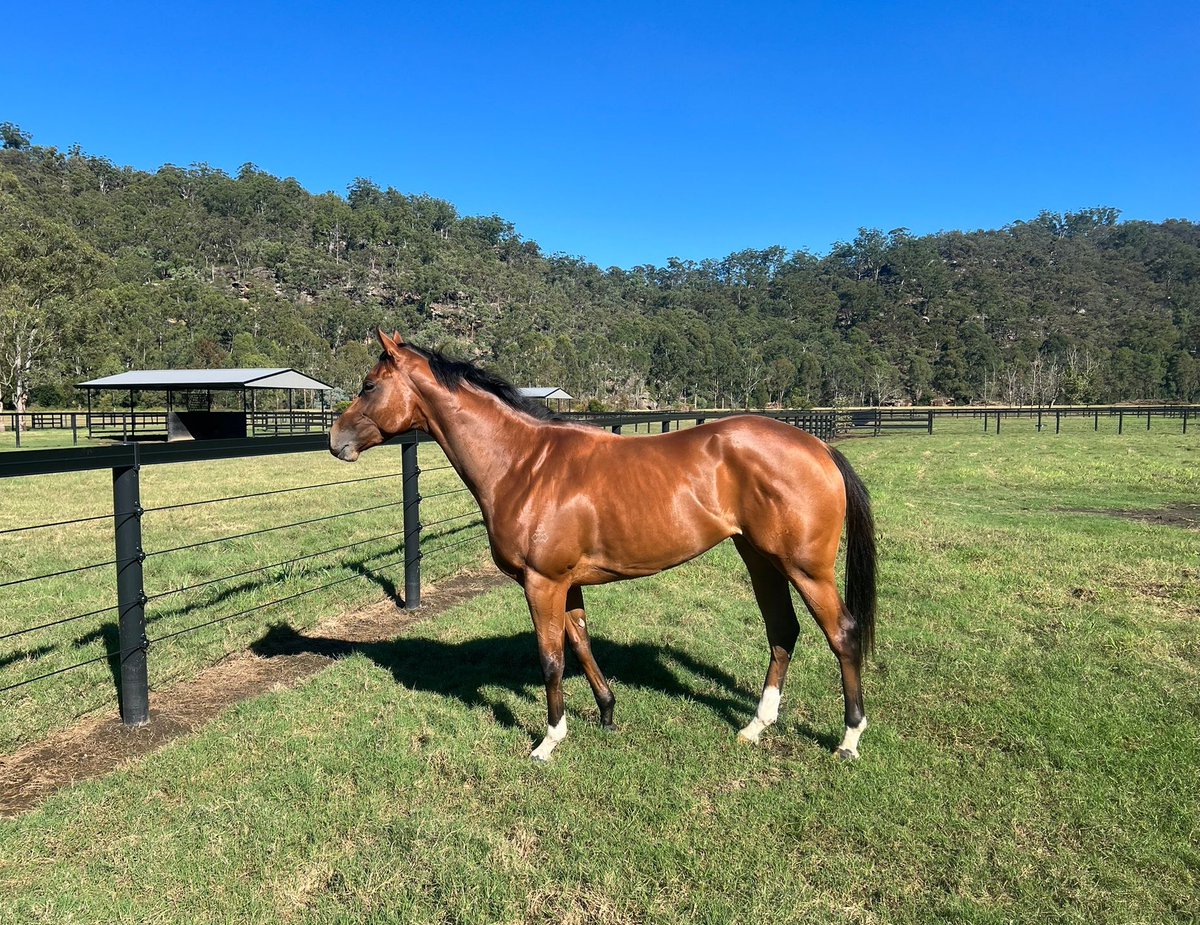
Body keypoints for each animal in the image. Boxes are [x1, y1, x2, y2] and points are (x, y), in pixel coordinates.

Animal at [333, 331, 878, 758]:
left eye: (369, 385)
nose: (336, 441)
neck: (523, 463)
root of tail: (818, 446)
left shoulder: (542, 583)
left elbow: (551, 658)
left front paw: (549, 740)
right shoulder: (566, 584)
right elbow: (580, 643)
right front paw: (608, 713)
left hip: (805, 569)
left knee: (843, 634)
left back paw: (849, 738)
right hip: (761, 560)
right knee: (783, 632)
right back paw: (755, 727)